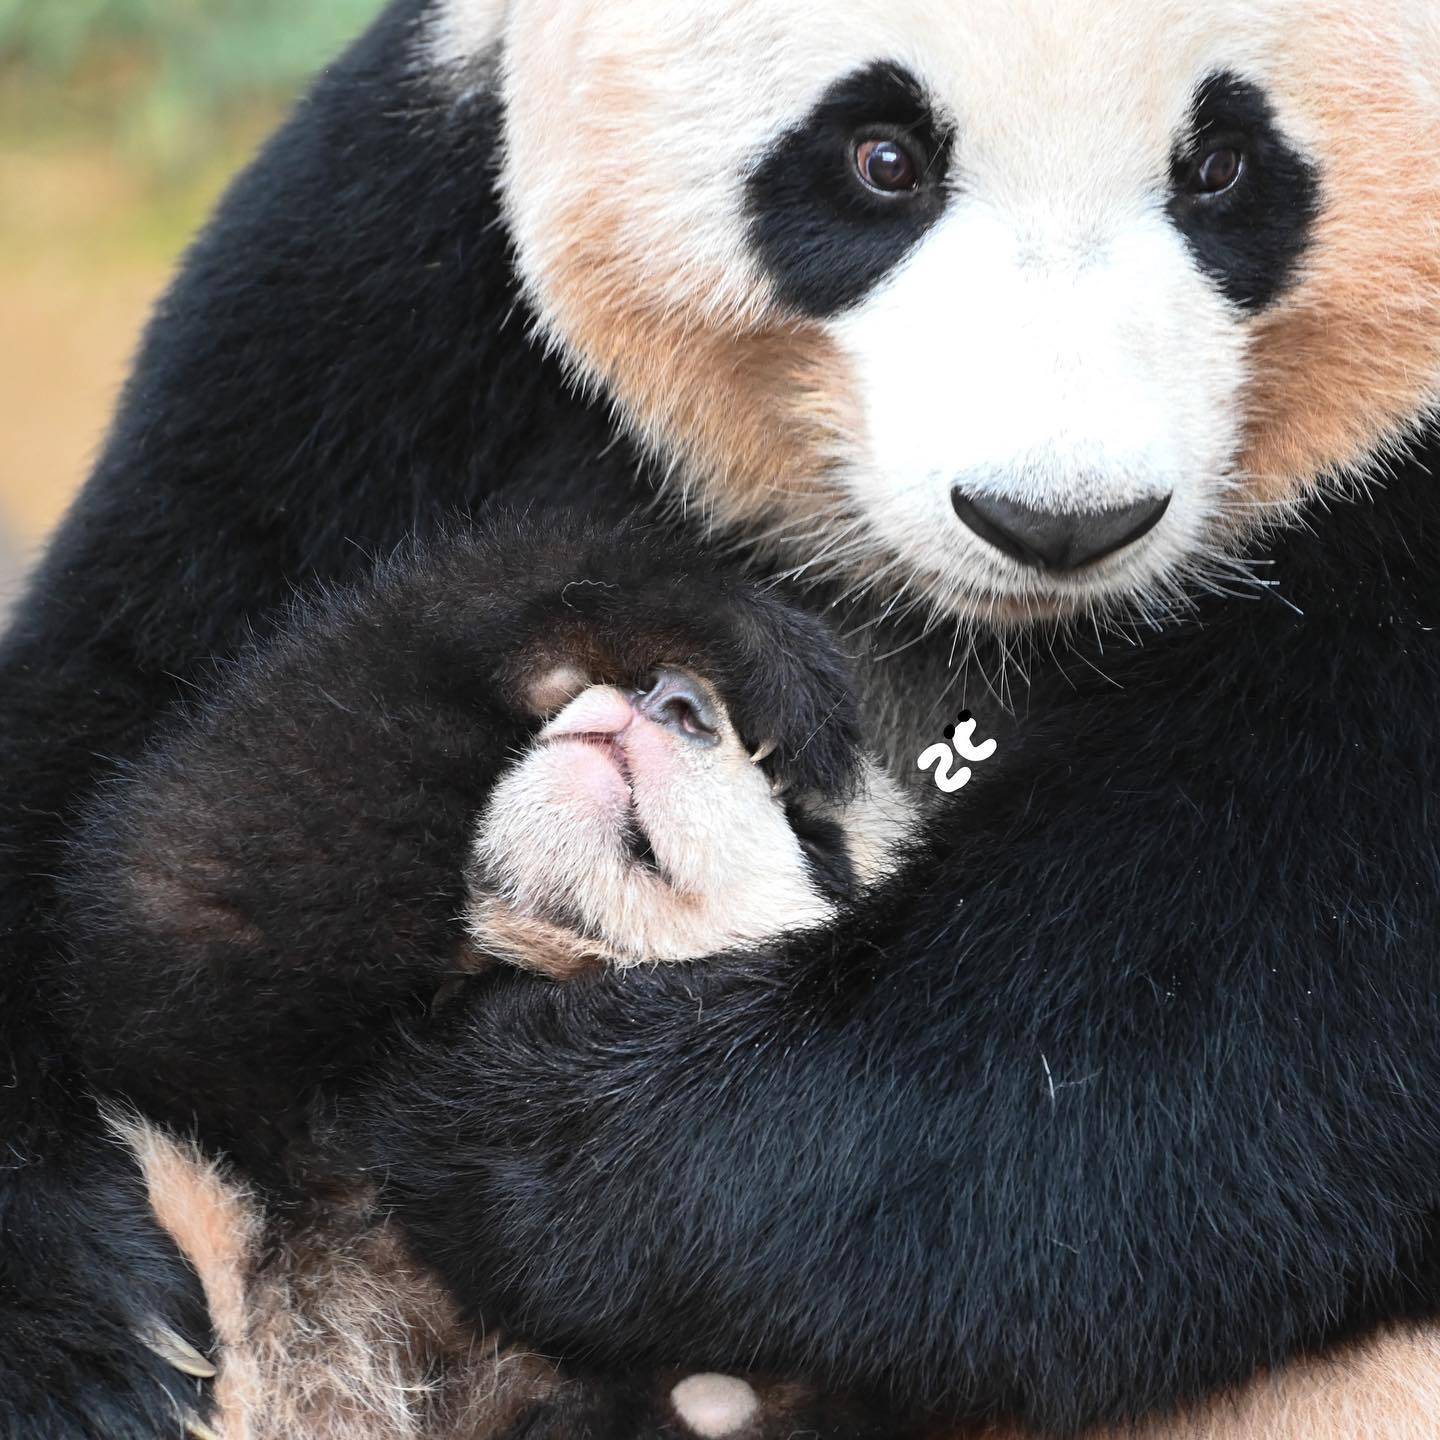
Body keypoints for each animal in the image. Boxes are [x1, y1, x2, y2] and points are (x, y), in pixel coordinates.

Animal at [2, 0, 1440, 1434]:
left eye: (1222, 168)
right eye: (880, 157)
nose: (1056, 520)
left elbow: (1250, 999)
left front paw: (528, 1130)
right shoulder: (381, 285)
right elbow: (142, 805)